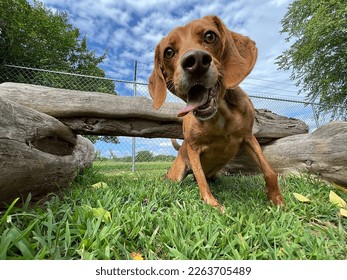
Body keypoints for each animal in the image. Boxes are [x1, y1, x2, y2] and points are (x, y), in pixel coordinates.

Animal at [148, 15, 284, 210]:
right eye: (168, 52)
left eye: (210, 36)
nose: (196, 61)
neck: (220, 116)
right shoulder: (193, 148)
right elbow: (201, 182)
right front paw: (214, 206)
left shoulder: (249, 138)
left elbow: (269, 170)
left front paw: (277, 199)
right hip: (177, 173)